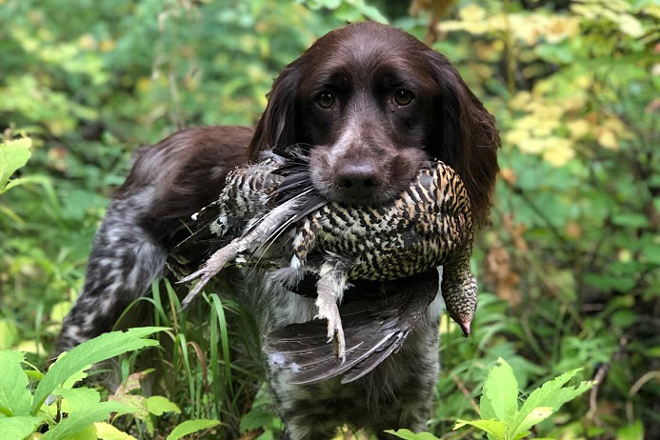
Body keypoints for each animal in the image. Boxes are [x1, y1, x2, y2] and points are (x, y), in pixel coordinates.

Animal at [58, 21, 500, 440]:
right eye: (325, 98)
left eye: (404, 96)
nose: (356, 178)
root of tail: (151, 151)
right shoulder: (301, 409)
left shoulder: (409, 408)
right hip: (106, 304)